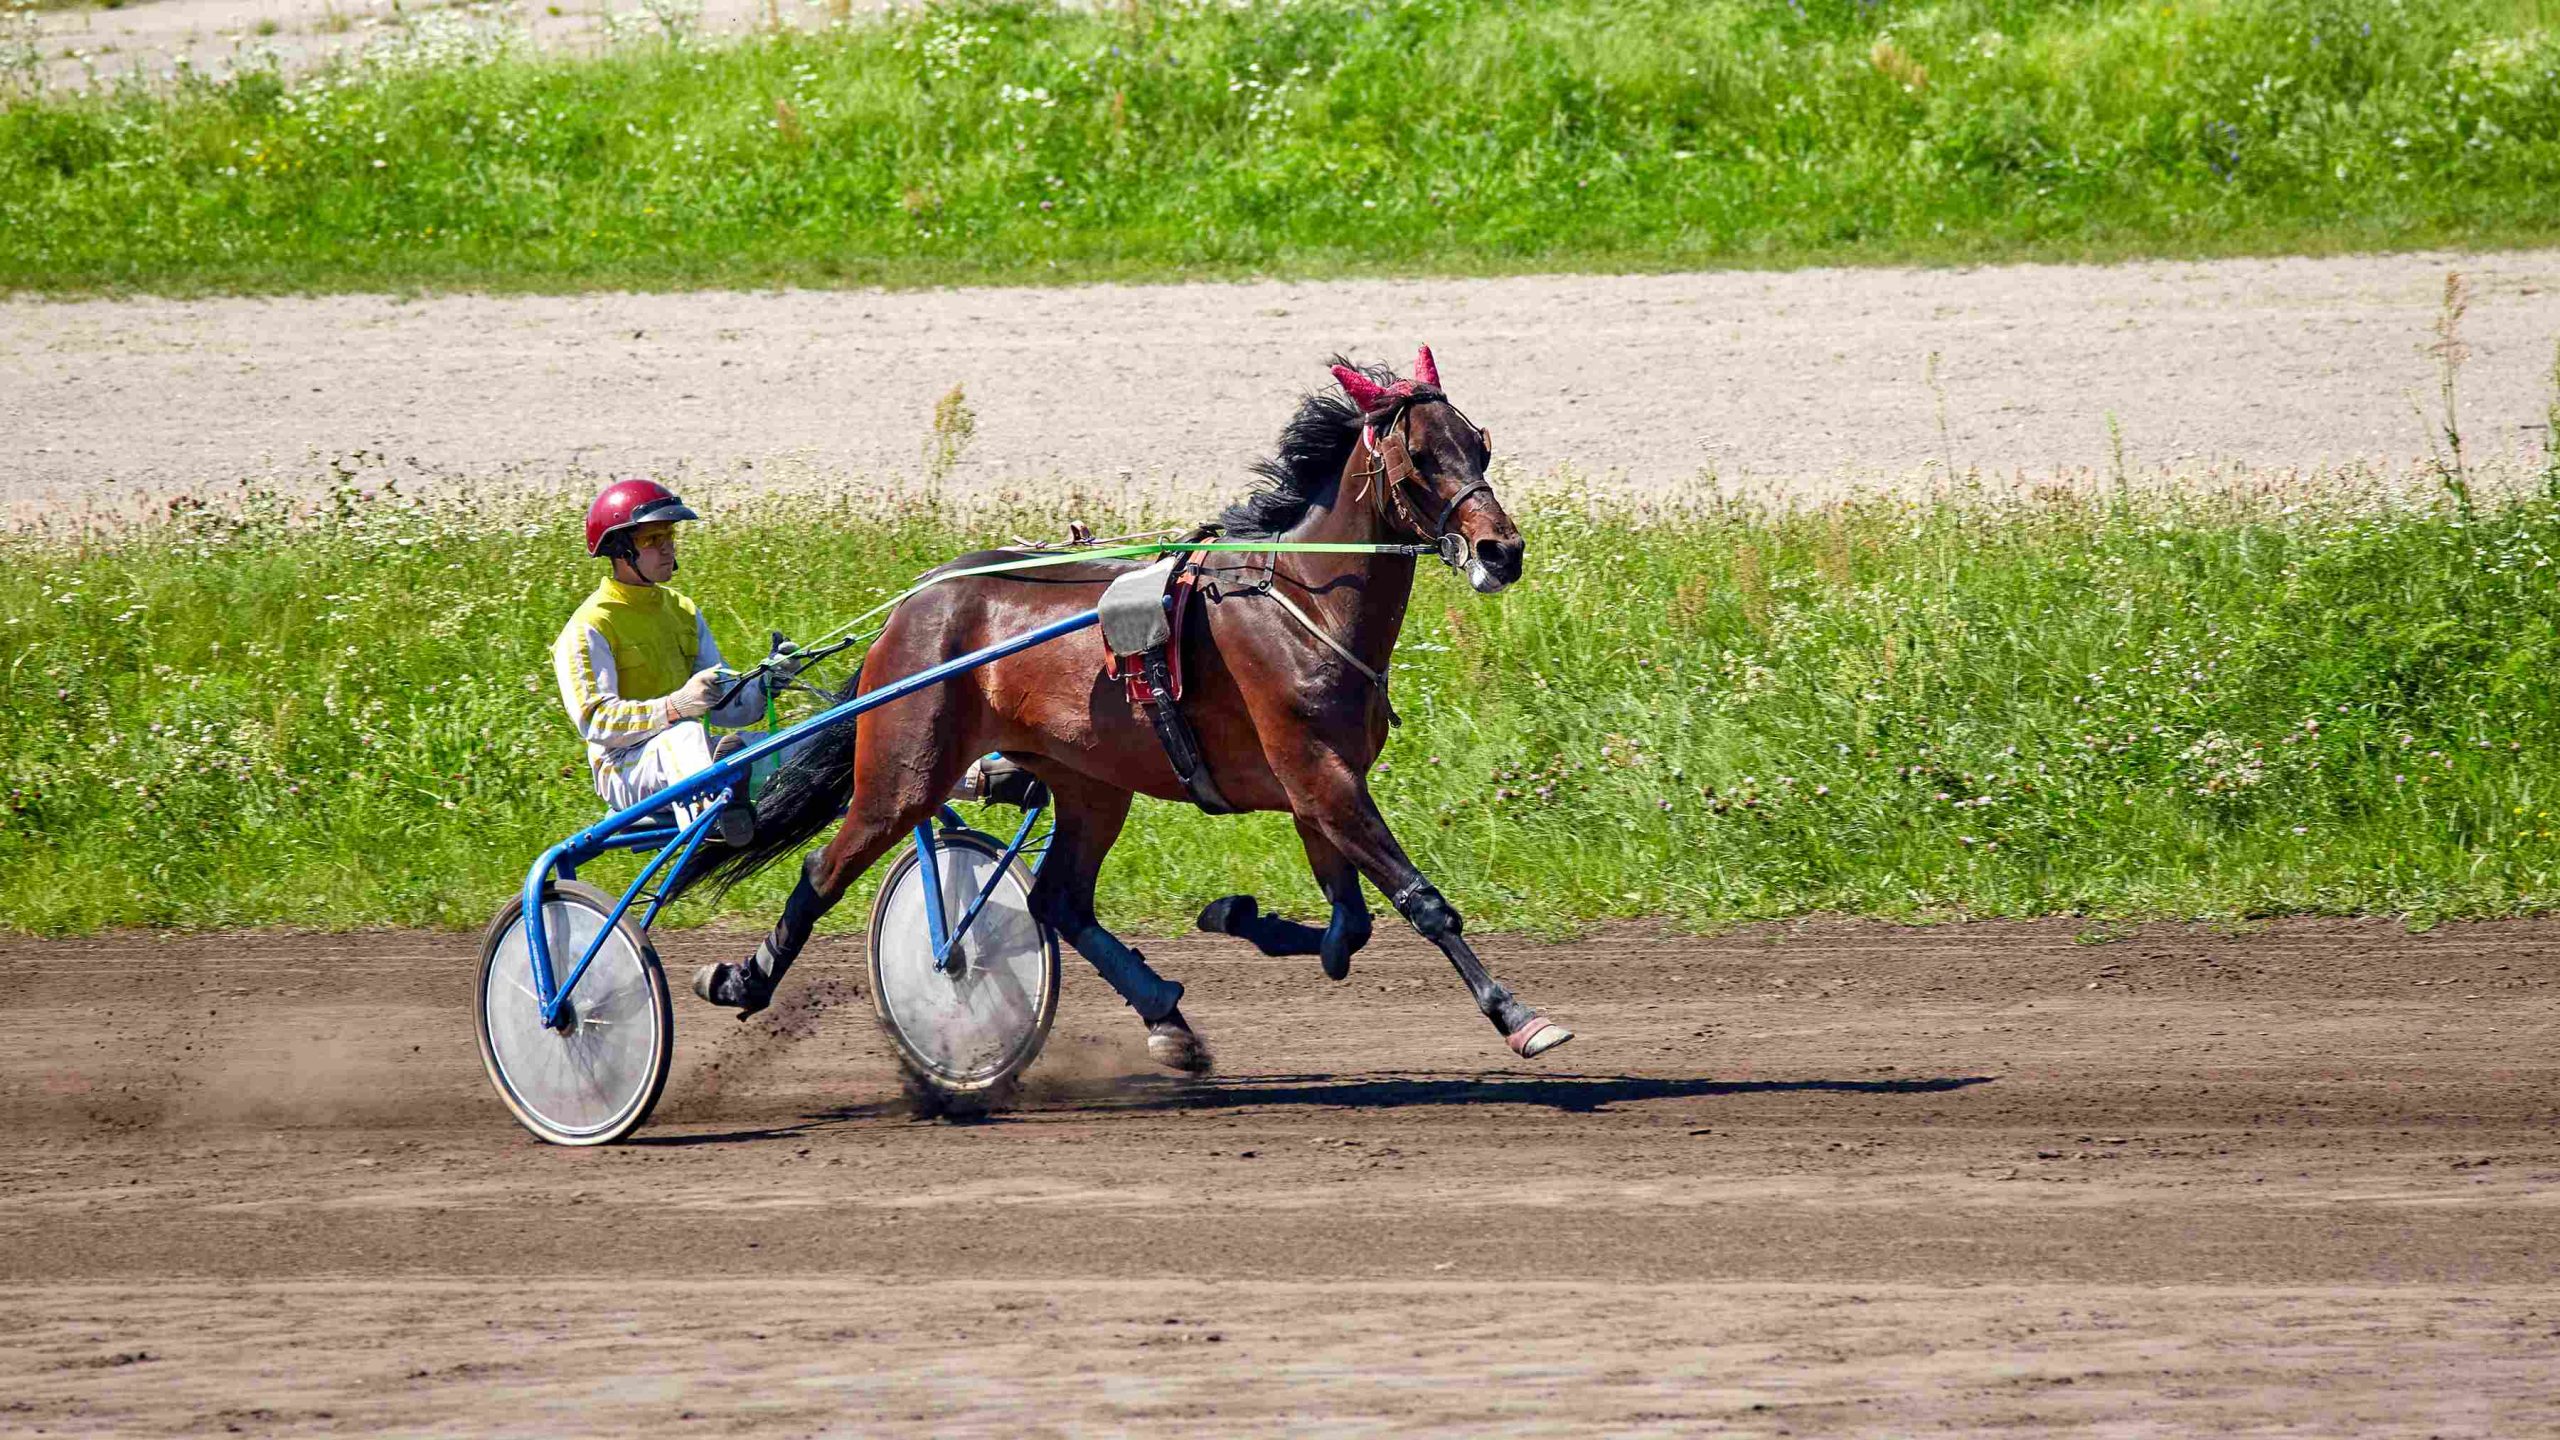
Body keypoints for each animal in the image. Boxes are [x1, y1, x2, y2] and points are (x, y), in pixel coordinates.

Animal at [670, 348, 1566, 1065]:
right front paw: (1518, 1015)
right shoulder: (1321, 778)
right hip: (904, 771)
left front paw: (1236, 914)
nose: (1503, 550)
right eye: (1420, 454)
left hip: (1089, 781)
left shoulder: (1319, 789)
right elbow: (1421, 903)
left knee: (1058, 899)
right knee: (826, 868)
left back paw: (1167, 1016)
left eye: (1480, 443)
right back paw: (743, 978)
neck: (1301, 603)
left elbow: (1349, 929)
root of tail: (915, 606)